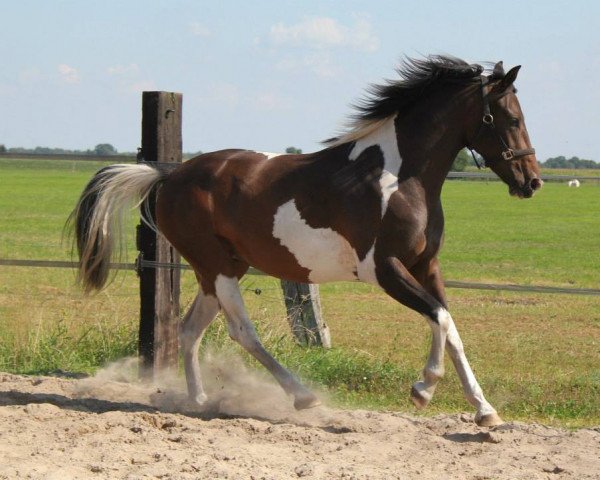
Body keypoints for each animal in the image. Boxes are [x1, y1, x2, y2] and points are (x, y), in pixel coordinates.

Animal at [70, 56, 540, 428]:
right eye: (511, 119)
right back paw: (302, 396)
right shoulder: (384, 268)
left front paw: (485, 412)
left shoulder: (426, 266)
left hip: (220, 268)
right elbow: (440, 318)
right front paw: (423, 388)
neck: (398, 178)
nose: (531, 182)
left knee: (189, 330)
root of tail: (167, 176)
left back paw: (200, 401)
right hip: (216, 268)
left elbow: (450, 325)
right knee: (241, 331)